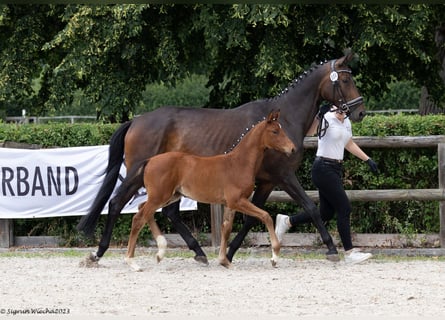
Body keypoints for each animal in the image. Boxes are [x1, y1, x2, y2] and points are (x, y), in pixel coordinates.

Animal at [119, 110, 294, 270]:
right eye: (275, 131)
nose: (292, 149)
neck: (238, 163)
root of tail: (149, 161)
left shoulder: (230, 204)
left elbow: (226, 228)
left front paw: (224, 261)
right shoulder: (237, 201)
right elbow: (265, 216)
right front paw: (275, 257)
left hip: (170, 196)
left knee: (143, 209)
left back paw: (160, 251)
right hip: (160, 196)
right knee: (139, 218)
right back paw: (132, 261)